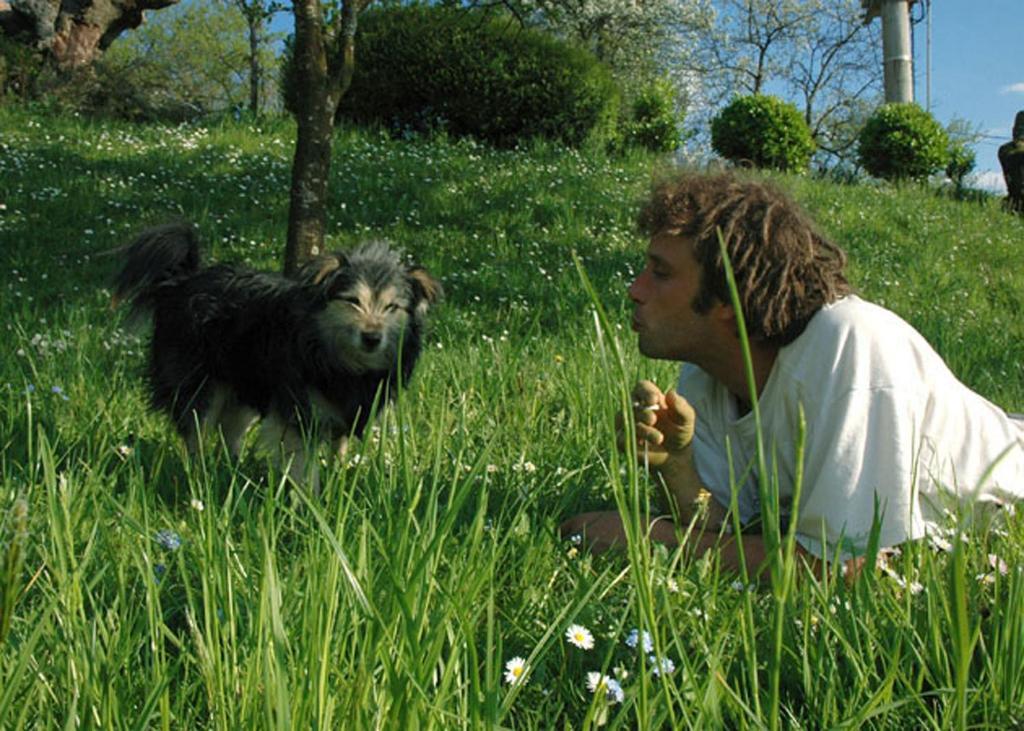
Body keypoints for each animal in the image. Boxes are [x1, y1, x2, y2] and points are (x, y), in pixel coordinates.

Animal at [112, 219, 440, 487]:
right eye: (352, 301)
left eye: (392, 307)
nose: (372, 337)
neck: (344, 363)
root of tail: (182, 281)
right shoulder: (296, 412)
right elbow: (303, 467)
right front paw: (310, 504)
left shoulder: (346, 411)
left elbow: (340, 451)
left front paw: (337, 486)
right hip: (200, 387)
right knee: (196, 434)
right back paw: (201, 477)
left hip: (244, 386)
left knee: (230, 432)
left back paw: (232, 473)